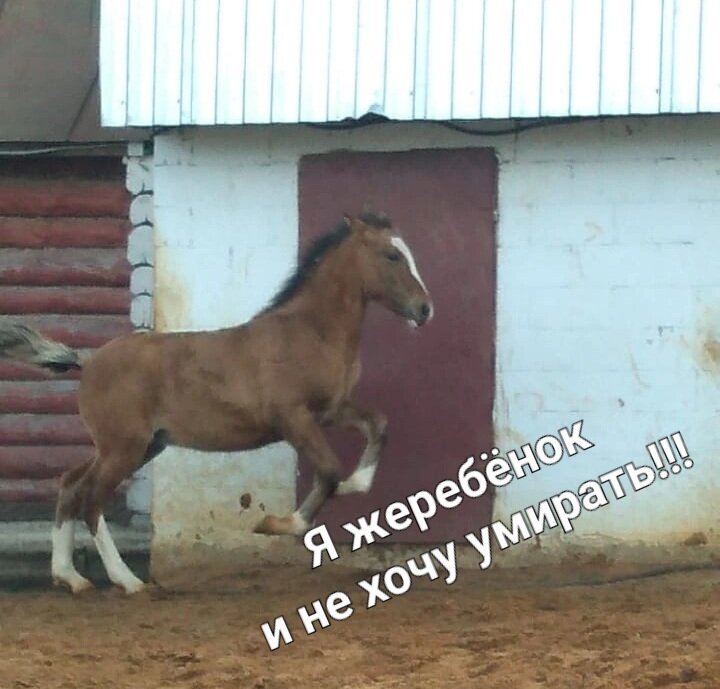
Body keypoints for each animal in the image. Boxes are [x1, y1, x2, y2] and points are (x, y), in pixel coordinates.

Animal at [0, 210, 434, 592]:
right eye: (392, 255)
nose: (425, 309)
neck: (309, 332)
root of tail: (88, 362)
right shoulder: (293, 418)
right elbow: (328, 471)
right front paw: (273, 525)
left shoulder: (330, 410)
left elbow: (378, 427)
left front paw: (354, 485)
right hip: (124, 448)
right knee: (91, 499)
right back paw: (128, 581)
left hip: (138, 445)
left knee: (71, 485)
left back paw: (71, 578)